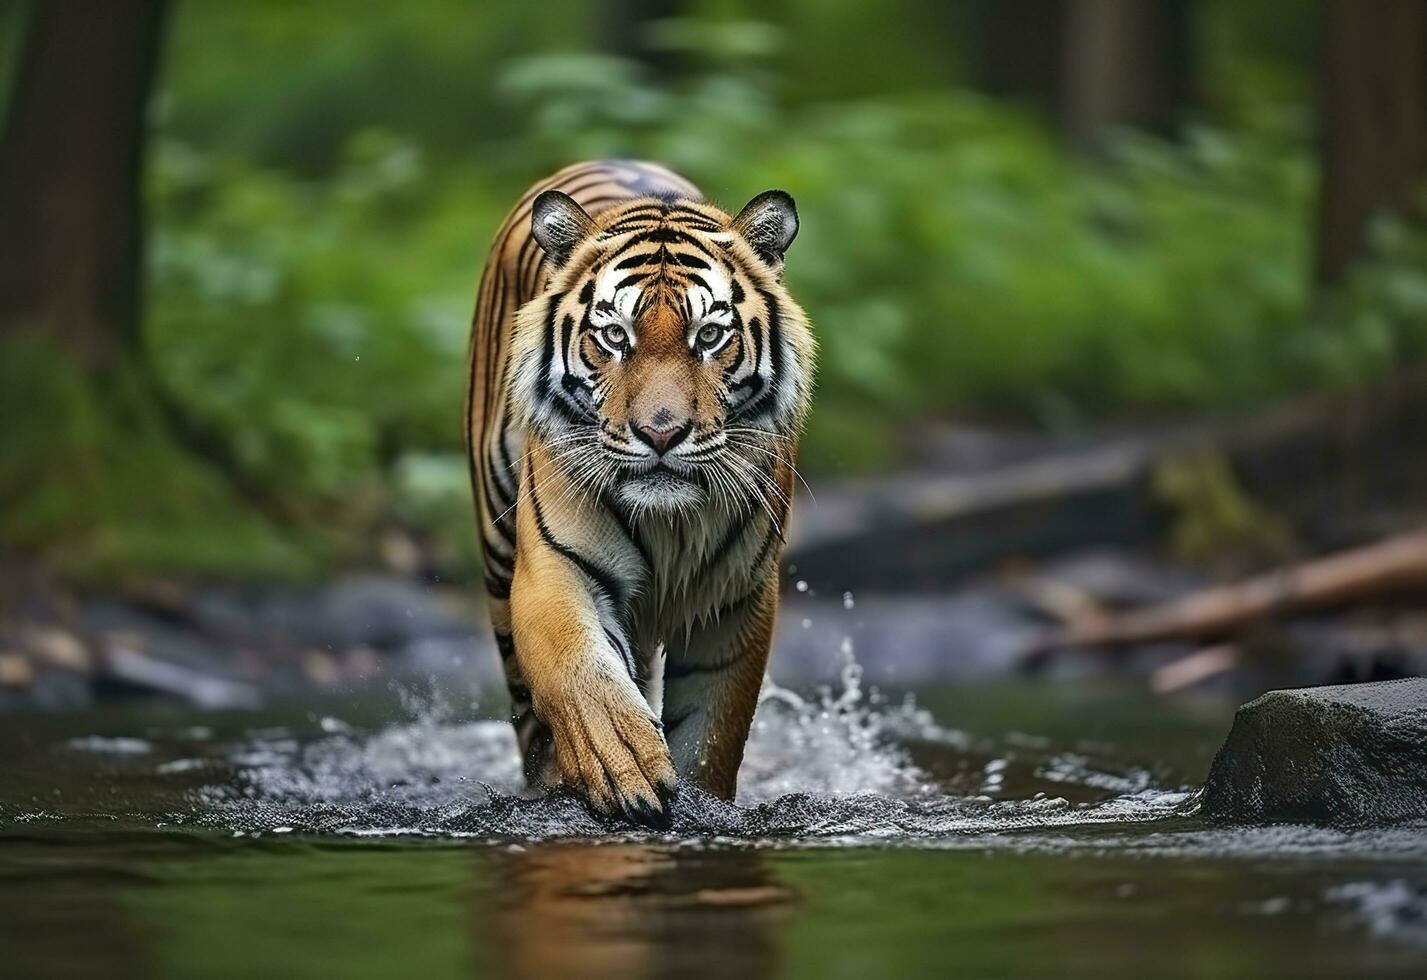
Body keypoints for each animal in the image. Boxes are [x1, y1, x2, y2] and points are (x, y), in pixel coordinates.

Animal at [468, 161, 816, 827]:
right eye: (613, 336)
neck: (668, 523)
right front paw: (621, 766)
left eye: (709, 335)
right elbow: (580, 671)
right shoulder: (555, 567)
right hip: (498, 555)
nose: (660, 432)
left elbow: (711, 730)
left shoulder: (737, 598)